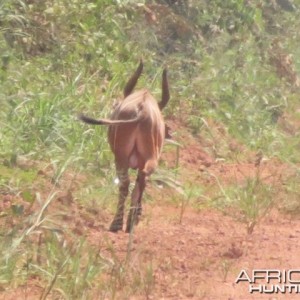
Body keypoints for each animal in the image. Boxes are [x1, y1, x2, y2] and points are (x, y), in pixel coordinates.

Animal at [78, 61, 170, 233]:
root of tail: (142, 109)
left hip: (121, 157)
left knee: (127, 183)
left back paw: (119, 222)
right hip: (145, 158)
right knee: (139, 179)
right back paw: (130, 220)